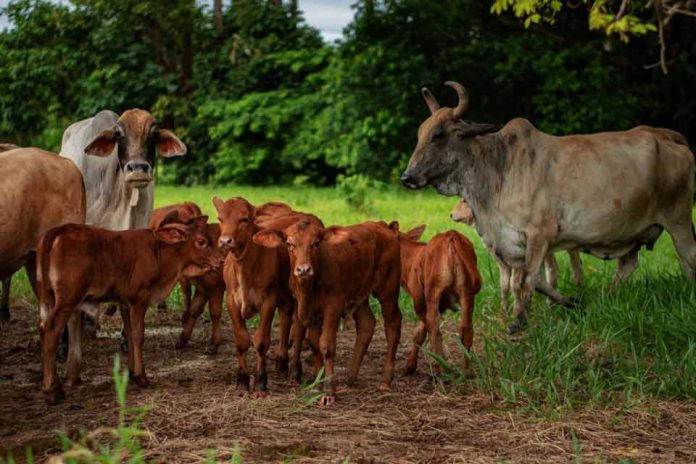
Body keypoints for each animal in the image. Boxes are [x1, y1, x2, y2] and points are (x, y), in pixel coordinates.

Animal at [37, 212, 223, 404]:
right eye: (201, 241)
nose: (221, 259)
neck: (159, 252)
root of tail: (59, 230)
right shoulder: (139, 300)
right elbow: (138, 336)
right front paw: (142, 377)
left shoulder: (125, 303)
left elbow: (129, 333)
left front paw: (133, 373)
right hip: (67, 299)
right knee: (51, 331)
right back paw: (52, 391)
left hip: (48, 296)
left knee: (42, 329)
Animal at [212, 196, 320, 396]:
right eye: (220, 218)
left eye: (244, 219)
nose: (225, 241)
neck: (245, 268)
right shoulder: (231, 300)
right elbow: (242, 340)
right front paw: (242, 381)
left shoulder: (268, 300)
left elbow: (261, 341)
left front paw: (260, 382)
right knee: (286, 318)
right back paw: (281, 361)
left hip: (302, 287)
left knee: (298, 329)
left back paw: (295, 371)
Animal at [254, 219, 402, 404]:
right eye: (289, 243)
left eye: (316, 243)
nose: (303, 270)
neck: (309, 289)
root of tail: (384, 226)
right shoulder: (308, 309)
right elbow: (315, 343)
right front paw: (318, 381)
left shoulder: (333, 306)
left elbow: (326, 345)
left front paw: (329, 390)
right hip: (359, 292)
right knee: (367, 323)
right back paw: (350, 377)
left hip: (388, 288)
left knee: (393, 324)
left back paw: (385, 380)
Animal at [394, 225, 482, 374]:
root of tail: (450, 235)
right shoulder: (441, 305)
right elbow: (420, 332)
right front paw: (411, 365)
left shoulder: (419, 300)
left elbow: (423, 331)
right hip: (467, 294)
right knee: (466, 329)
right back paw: (466, 371)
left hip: (433, 291)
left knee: (434, 324)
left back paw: (440, 366)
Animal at [402, 80, 696, 334]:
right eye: (419, 134)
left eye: (438, 135)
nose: (407, 177)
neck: (499, 169)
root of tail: (667, 135)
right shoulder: (517, 244)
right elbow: (536, 282)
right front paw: (571, 303)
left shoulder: (539, 234)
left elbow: (527, 281)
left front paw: (518, 322)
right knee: (627, 266)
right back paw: (610, 298)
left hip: (679, 221)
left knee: (688, 260)